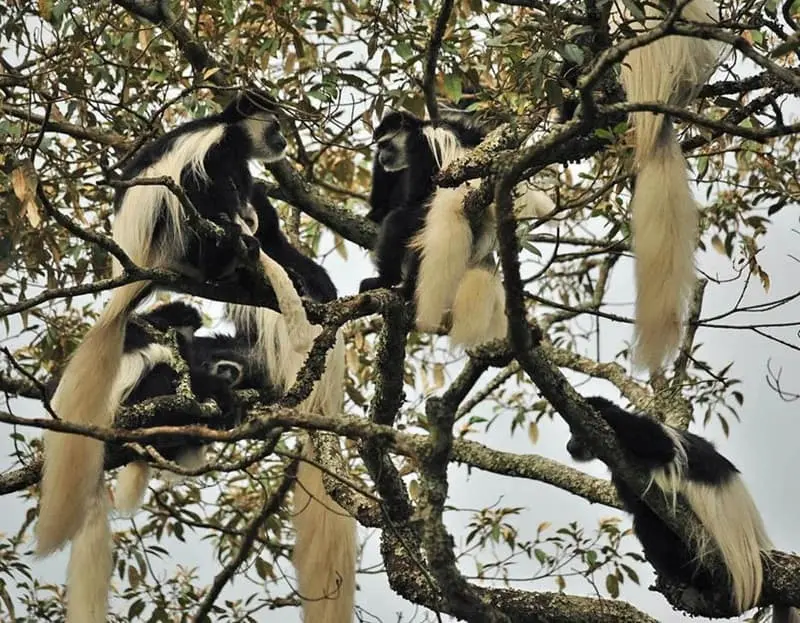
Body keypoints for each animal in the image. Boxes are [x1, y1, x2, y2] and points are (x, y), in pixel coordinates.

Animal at [35, 90, 288, 559]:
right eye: (276, 125)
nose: (281, 139)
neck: (228, 128)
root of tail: (136, 264)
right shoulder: (218, 150)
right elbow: (209, 188)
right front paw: (239, 227)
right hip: (175, 239)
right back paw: (225, 254)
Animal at [566, 396, 799, 622]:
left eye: (574, 432)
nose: (569, 445)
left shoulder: (645, 431)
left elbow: (661, 447)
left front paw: (604, 413)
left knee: (648, 526)